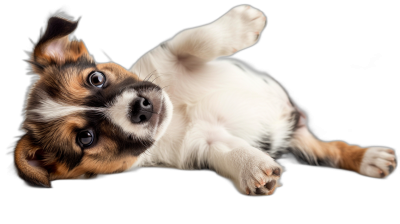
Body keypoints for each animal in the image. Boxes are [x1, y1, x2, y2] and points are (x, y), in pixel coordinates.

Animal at [13, 4, 396, 195]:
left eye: (96, 78)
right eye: (86, 138)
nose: (140, 107)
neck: (177, 115)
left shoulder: (171, 55)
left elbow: (192, 39)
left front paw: (244, 22)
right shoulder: (203, 143)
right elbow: (228, 151)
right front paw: (254, 170)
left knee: (333, 147)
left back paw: (369, 157)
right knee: (328, 149)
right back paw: (370, 160)